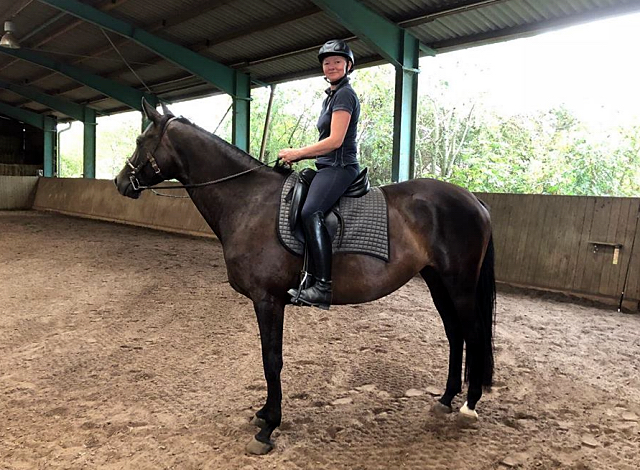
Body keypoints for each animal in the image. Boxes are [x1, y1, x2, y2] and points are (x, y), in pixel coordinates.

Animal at [114, 100, 496, 456]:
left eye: (140, 140)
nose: (119, 182)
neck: (249, 201)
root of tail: (473, 200)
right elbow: (269, 358)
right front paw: (264, 414)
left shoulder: (267, 300)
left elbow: (272, 360)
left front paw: (268, 428)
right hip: (437, 282)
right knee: (455, 334)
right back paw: (446, 399)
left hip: (460, 285)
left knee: (474, 333)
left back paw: (469, 405)